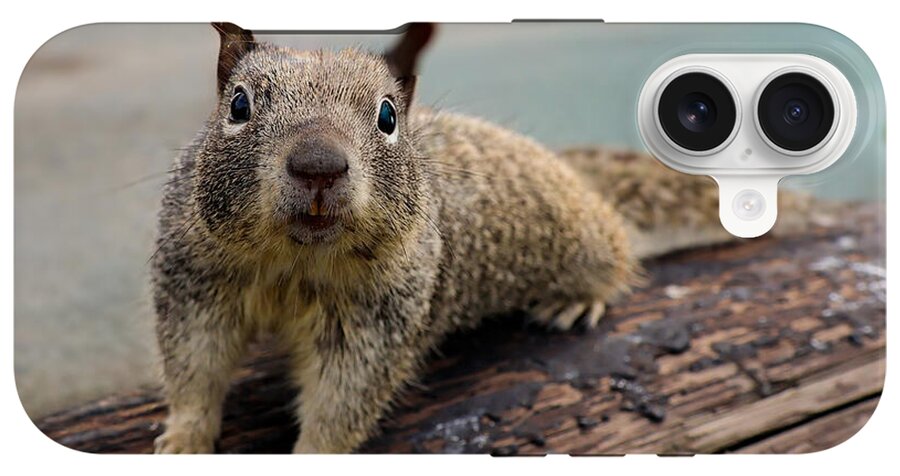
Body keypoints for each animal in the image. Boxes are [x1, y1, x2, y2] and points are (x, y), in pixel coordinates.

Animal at [152, 22, 811, 454]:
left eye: (388, 116)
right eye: (238, 105)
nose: (318, 165)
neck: (296, 262)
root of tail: (574, 175)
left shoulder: (379, 318)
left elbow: (344, 399)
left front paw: (313, 454)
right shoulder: (196, 281)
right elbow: (194, 368)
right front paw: (182, 440)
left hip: (586, 238)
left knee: (617, 251)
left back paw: (577, 298)